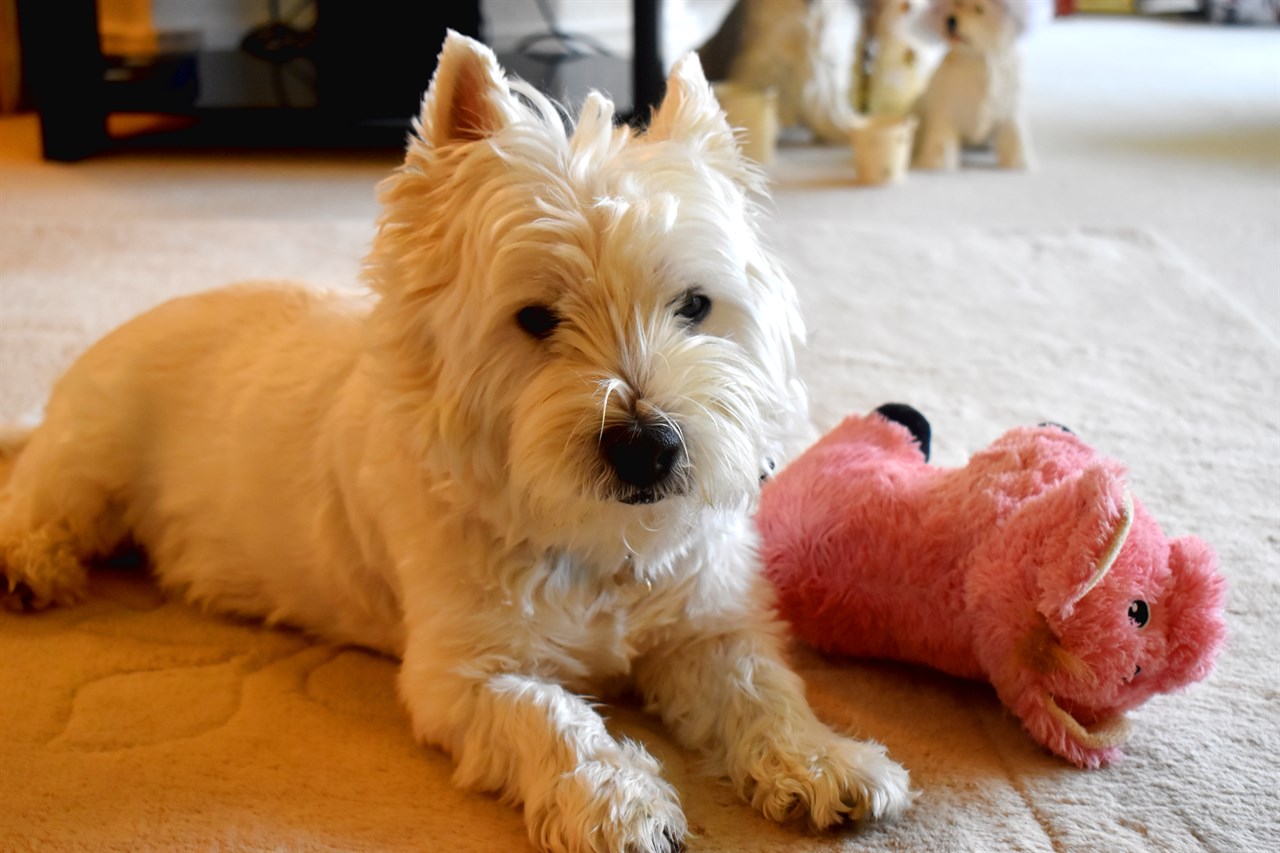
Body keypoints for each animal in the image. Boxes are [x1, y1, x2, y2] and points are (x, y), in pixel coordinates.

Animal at [0, 31, 911, 850]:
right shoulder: (464, 673)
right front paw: (619, 802)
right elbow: (552, 715)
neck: (596, 544)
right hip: (92, 459)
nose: (649, 447)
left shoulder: (705, 627)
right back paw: (30, 566)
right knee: (36, 500)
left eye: (694, 304)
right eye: (536, 318)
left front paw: (826, 761)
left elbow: (762, 686)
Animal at [916, 0, 1054, 169]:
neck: (977, 59)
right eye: (956, 5)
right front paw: (936, 164)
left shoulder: (1009, 111)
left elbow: (1014, 138)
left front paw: (1018, 163)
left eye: (979, 9)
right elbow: (940, 143)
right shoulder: (946, 113)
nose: (950, 20)